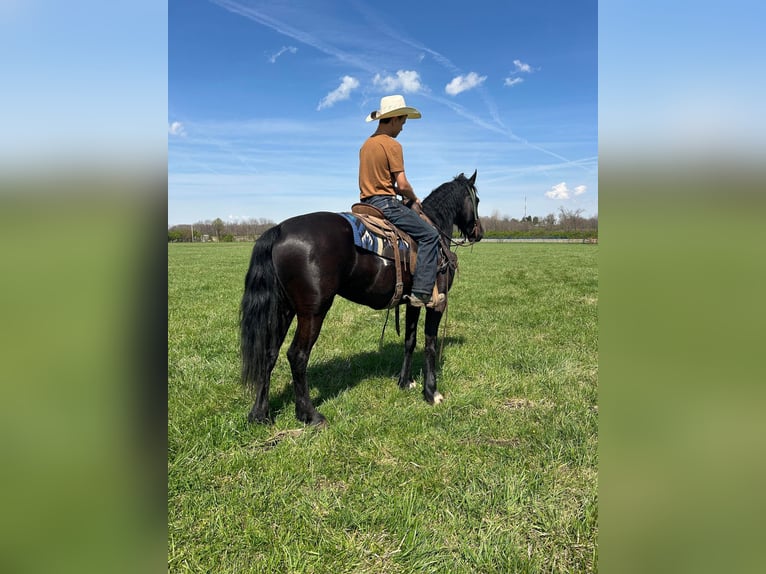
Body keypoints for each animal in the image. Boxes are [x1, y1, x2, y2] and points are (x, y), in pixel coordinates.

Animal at [240, 169, 484, 426]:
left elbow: (410, 341)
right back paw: (309, 414)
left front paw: (405, 382)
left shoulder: (414, 302)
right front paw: (431, 393)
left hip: (284, 309)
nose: (479, 233)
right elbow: (430, 345)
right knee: (297, 355)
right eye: (476, 200)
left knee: (269, 353)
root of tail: (280, 230)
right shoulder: (436, 304)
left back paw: (260, 414)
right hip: (313, 311)